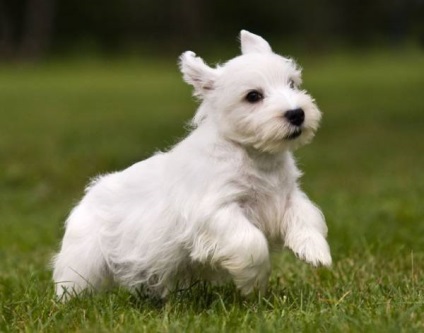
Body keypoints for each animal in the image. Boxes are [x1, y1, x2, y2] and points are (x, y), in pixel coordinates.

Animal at [53, 29, 332, 298]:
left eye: (292, 83)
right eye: (253, 96)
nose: (297, 114)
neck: (255, 156)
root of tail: (90, 192)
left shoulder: (286, 195)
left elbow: (306, 216)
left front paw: (315, 252)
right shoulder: (216, 212)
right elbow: (251, 241)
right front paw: (254, 283)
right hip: (84, 259)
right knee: (71, 282)